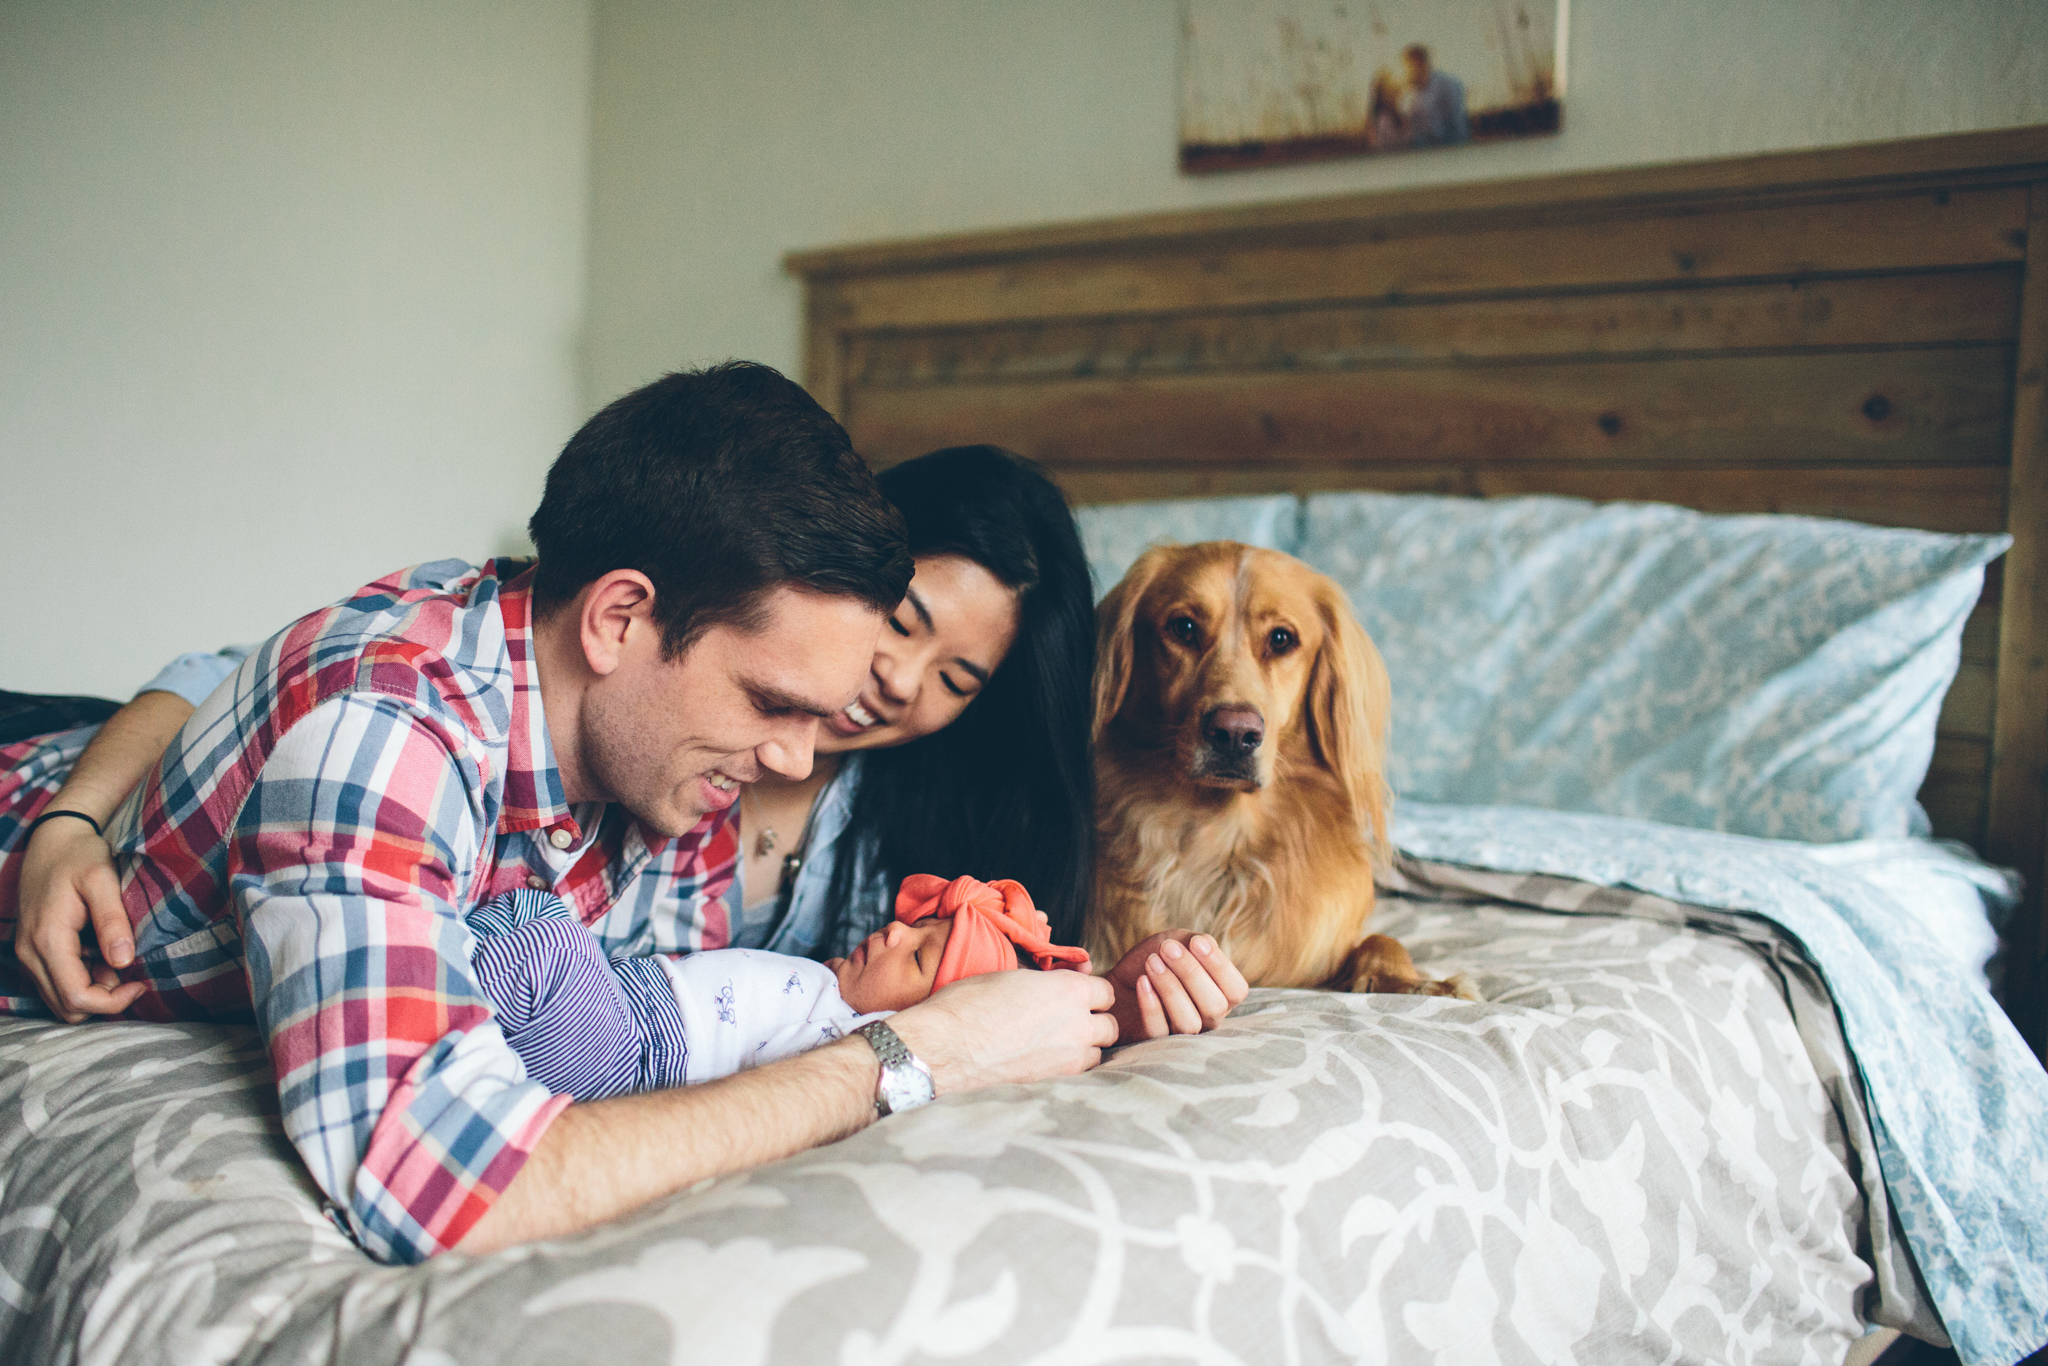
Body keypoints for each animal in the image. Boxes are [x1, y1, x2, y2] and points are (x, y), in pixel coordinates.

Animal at [1097, 540, 1466, 999]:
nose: (1234, 733)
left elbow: (1383, 941)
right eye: (1183, 627)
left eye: (1281, 639)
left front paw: (1412, 982)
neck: (1221, 840)